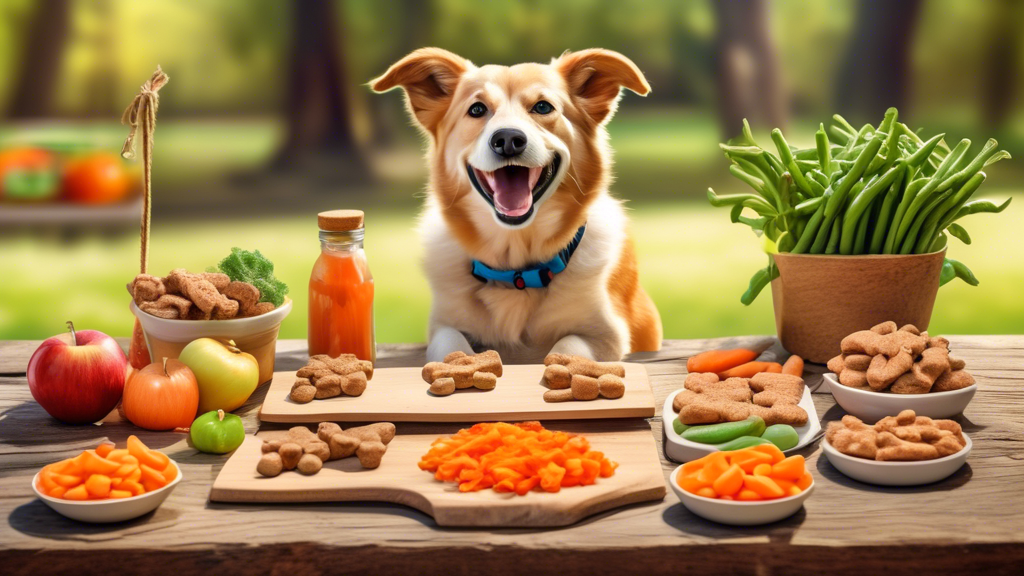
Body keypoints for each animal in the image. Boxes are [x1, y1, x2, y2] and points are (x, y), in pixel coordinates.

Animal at [372, 50, 659, 362]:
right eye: (477, 109)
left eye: (543, 107)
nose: (508, 139)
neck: (516, 272)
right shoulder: (443, 324)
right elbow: (449, 343)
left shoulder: (608, 334)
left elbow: (569, 346)